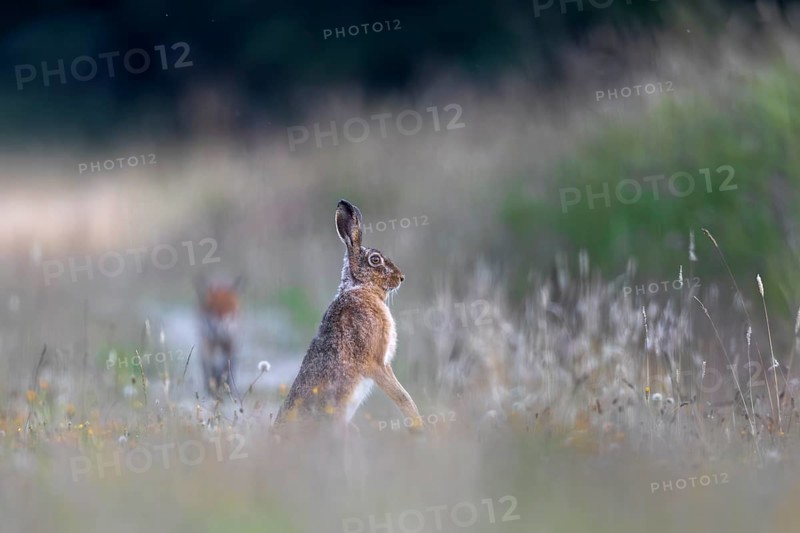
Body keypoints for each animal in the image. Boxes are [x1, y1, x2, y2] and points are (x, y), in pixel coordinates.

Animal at [274, 199, 422, 432]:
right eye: (375, 260)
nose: (401, 277)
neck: (360, 287)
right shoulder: (376, 363)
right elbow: (401, 396)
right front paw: (417, 423)